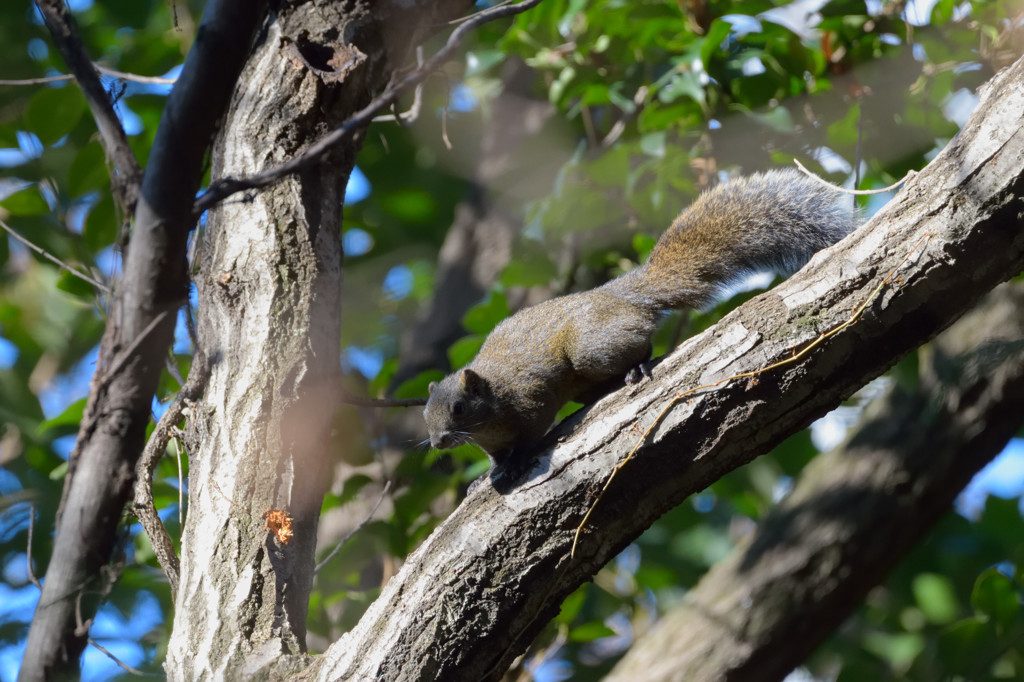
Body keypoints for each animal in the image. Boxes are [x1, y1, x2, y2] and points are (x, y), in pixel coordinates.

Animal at [423, 169, 856, 489]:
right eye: (426, 415)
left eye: (459, 407)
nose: (438, 442)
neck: (489, 416)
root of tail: (619, 295)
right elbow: (495, 458)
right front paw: (485, 478)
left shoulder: (529, 399)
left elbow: (531, 432)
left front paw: (517, 462)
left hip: (592, 350)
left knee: (640, 340)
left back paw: (638, 367)